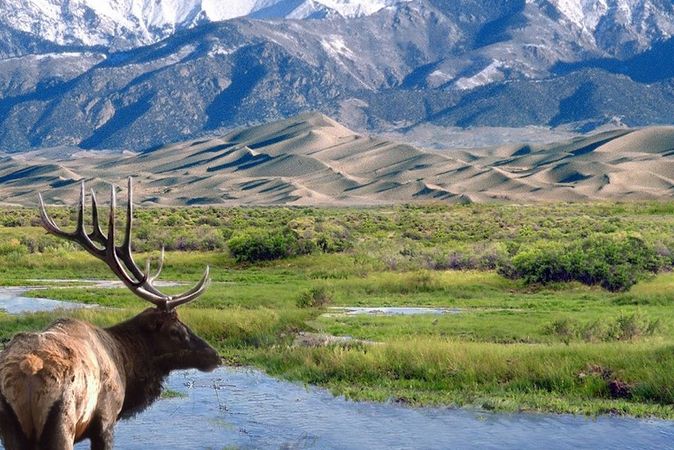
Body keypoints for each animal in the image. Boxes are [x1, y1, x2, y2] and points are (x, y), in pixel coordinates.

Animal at [0, 179, 219, 450]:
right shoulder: (105, 418)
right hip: (62, 422)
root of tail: (28, 371)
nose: (215, 356)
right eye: (175, 330)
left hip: (11, 426)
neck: (126, 362)